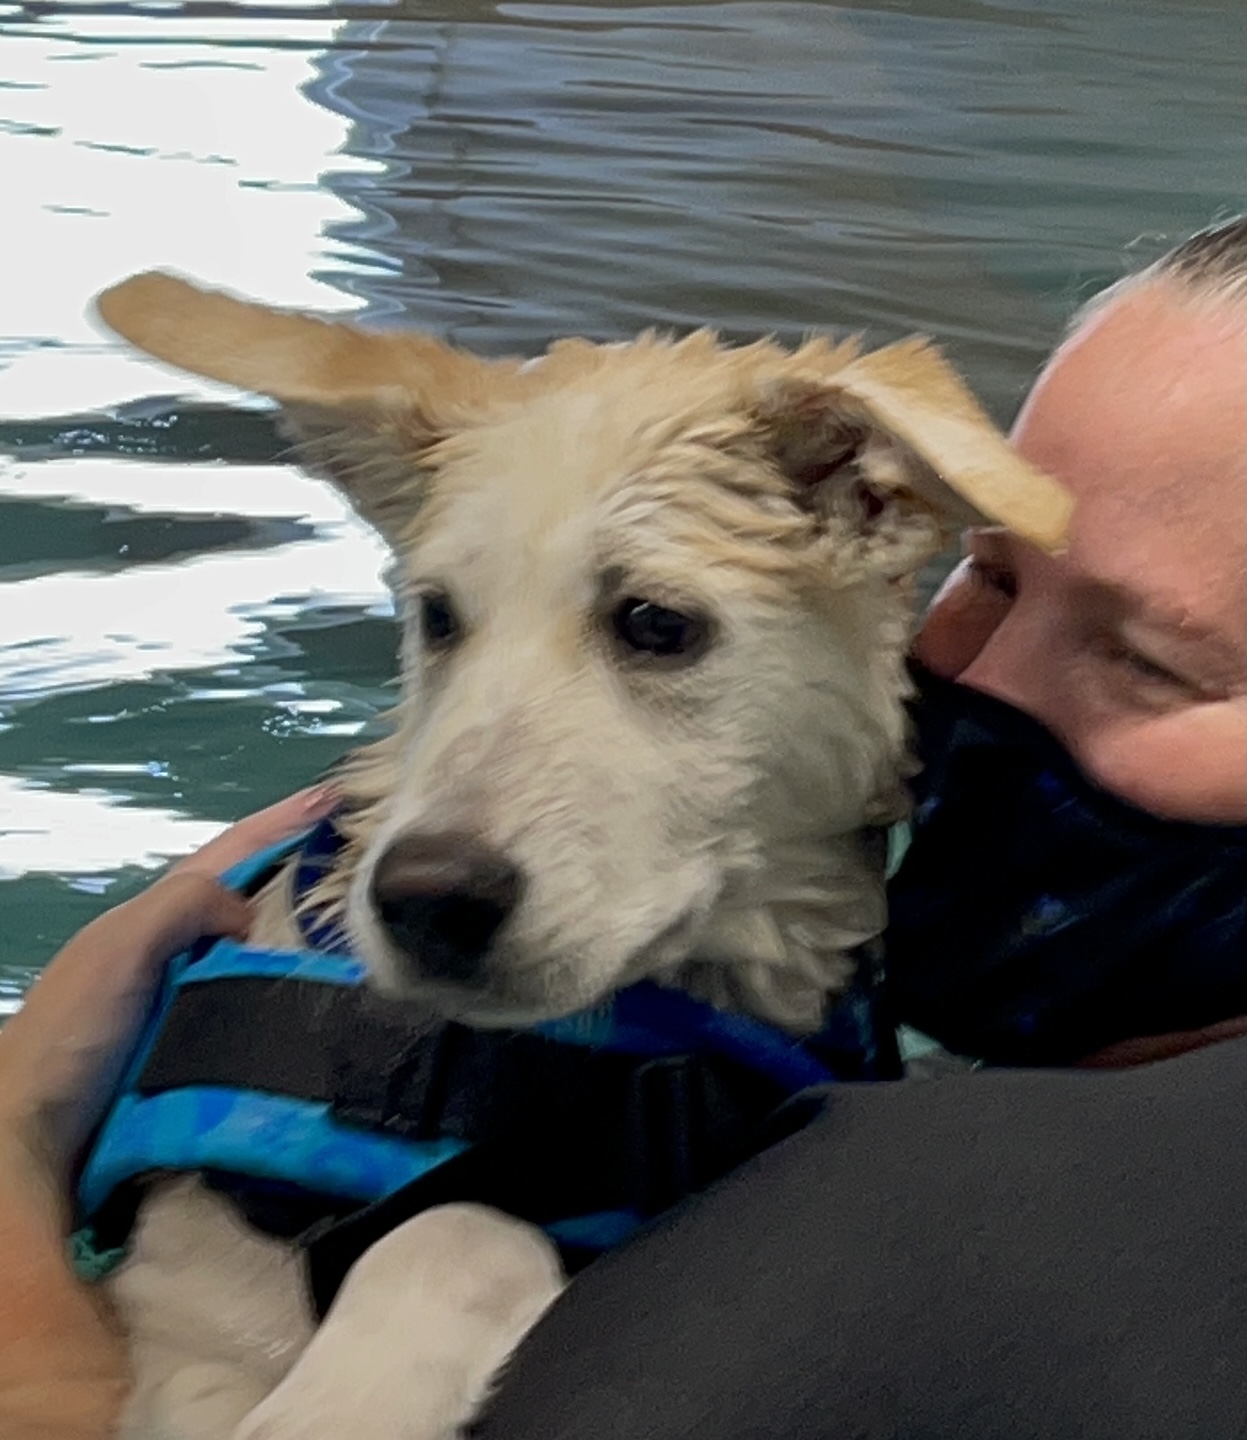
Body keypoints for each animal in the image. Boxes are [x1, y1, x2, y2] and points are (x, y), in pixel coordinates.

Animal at [95, 272, 1071, 1440]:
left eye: (655, 623)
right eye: (437, 618)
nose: (424, 900)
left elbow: (459, 1228)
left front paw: (353, 1394)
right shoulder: (177, 1319)